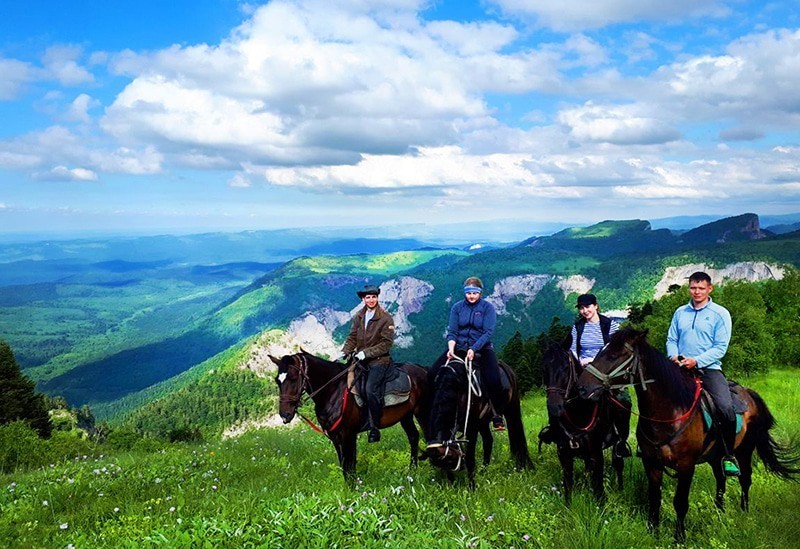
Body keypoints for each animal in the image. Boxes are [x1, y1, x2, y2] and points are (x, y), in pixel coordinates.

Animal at [270, 352, 432, 484]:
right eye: (277, 380)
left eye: (293, 378)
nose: (285, 415)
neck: (333, 391)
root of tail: (424, 369)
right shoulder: (335, 436)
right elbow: (345, 465)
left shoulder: (348, 434)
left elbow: (349, 464)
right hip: (406, 416)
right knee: (413, 437)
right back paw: (412, 472)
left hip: (422, 412)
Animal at [422, 352, 528, 488]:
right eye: (441, 465)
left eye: (450, 460)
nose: (461, 467)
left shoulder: (471, 427)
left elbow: (470, 458)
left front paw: (472, 487)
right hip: (483, 422)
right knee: (488, 440)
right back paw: (484, 470)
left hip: (512, 410)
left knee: (517, 436)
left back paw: (521, 466)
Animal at [536, 340, 632, 504]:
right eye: (544, 368)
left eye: (566, 367)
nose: (554, 407)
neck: (578, 414)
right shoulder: (564, 454)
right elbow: (568, 485)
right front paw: (568, 508)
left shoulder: (596, 452)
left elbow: (599, 487)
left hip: (618, 443)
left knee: (618, 464)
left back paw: (620, 489)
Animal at [580, 328, 796, 540]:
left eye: (614, 355)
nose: (583, 387)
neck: (669, 415)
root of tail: (749, 394)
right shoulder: (652, 462)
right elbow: (654, 497)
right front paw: (653, 532)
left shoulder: (686, 466)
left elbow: (680, 502)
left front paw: (679, 537)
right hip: (715, 456)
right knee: (721, 480)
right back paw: (719, 513)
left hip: (744, 451)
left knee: (745, 479)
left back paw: (743, 512)